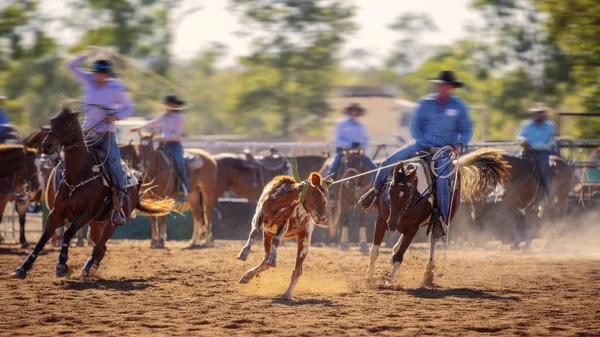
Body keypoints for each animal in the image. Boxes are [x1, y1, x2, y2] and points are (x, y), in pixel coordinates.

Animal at [12, 108, 176, 278]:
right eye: (52, 121)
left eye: (67, 123)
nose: (47, 145)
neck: (79, 174)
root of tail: (135, 185)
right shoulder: (56, 213)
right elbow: (43, 238)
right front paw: (23, 267)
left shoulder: (84, 214)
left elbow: (68, 233)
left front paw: (62, 264)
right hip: (95, 222)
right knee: (101, 247)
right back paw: (91, 268)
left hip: (111, 223)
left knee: (99, 245)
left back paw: (85, 269)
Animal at [366, 148, 510, 284]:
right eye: (390, 191)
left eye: (408, 195)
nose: (392, 224)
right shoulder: (381, 220)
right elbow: (374, 251)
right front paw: (369, 277)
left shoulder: (413, 228)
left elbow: (399, 256)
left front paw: (388, 280)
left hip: (444, 217)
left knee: (433, 238)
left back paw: (428, 272)